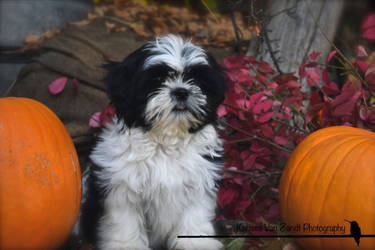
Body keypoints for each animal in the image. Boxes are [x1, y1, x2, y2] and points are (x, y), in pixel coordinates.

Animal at [82, 34, 228, 249]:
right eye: (158, 80)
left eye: (195, 80)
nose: (181, 91)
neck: (166, 141)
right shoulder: (122, 188)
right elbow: (125, 223)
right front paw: (128, 246)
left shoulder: (199, 184)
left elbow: (194, 218)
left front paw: (196, 245)